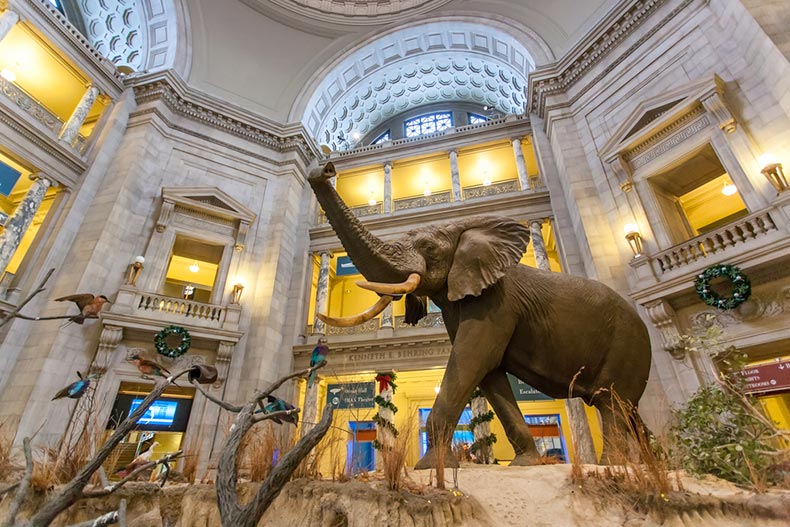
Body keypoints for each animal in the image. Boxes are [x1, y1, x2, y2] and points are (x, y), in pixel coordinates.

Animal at [312, 163, 652, 468]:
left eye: (428, 247)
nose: (324, 168)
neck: (463, 228)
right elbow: (490, 375)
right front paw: (526, 464)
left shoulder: (497, 301)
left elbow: (472, 360)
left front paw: (431, 467)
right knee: (627, 411)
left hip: (626, 345)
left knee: (611, 405)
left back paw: (614, 467)